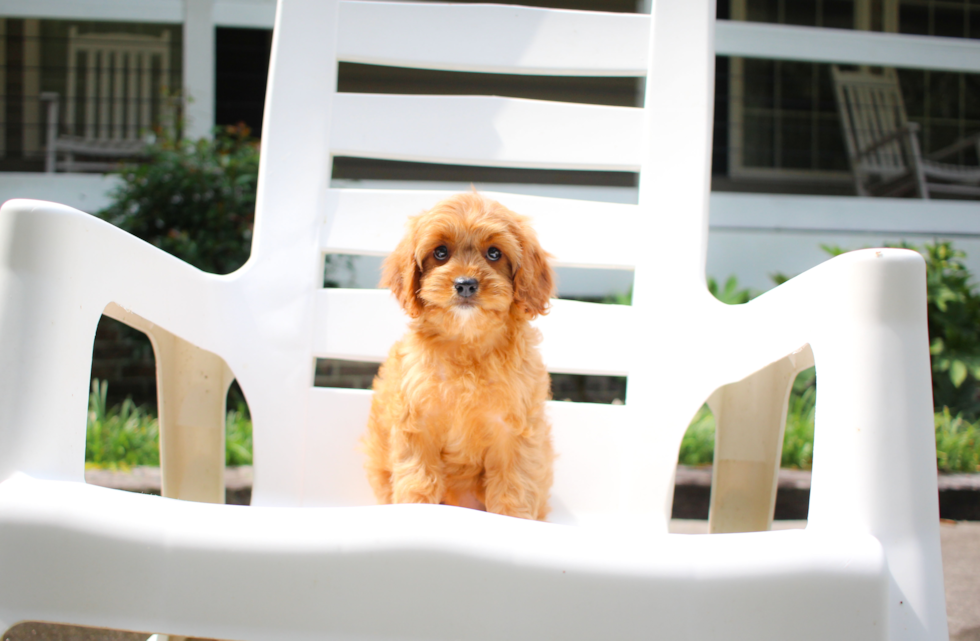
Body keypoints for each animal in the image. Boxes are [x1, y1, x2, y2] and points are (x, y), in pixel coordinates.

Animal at [364, 191, 556, 520]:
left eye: (494, 253)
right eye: (440, 252)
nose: (465, 284)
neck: (466, 344)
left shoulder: (514, 433)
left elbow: (514, 487)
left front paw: (514, 520)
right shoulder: (418, 425)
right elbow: (418, 480)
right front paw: (414, 508)